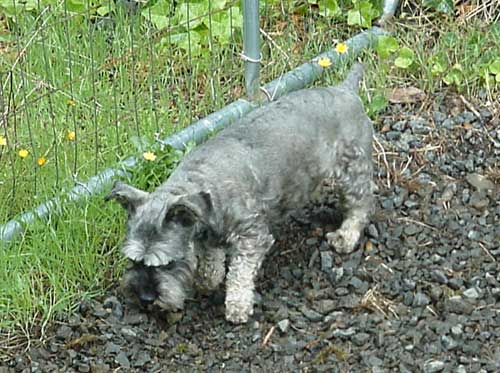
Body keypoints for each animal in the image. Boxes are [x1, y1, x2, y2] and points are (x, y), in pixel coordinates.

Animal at [105, 61, 374, 322]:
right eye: (132, 260)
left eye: (169, 263)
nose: (145, 298)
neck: (202, 187)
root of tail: (346, 89)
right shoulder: (208, 237)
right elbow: (211, 262)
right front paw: (207, 280)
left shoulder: (252, 237)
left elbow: (240, 274)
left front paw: (237, 306)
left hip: (352, 172)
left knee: (360, 204)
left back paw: (346, 237)